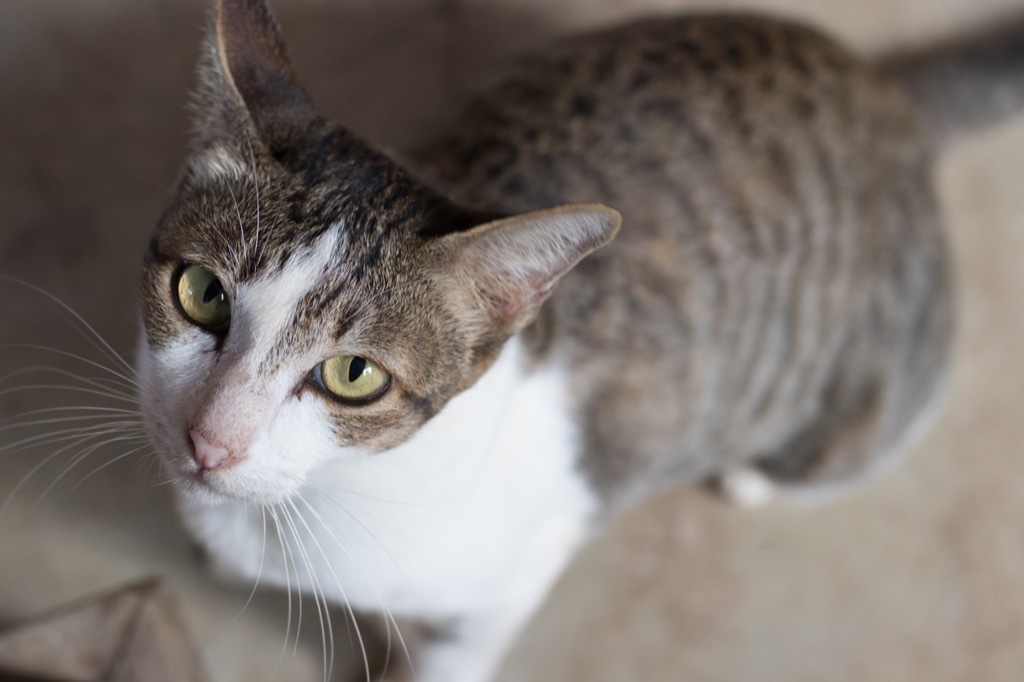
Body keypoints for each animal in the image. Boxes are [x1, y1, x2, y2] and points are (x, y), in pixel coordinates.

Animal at [138, 1, 1024, 679]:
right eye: (202, 294)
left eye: (353, 374)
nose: (210, 441)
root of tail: (885, 95)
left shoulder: (511, 578)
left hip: (857, 411)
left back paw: (751, 476)